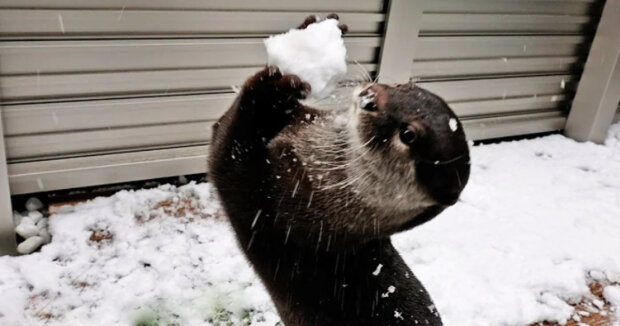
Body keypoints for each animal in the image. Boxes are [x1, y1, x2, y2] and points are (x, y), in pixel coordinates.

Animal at [208, 15, 470, 326]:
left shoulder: (265, 205)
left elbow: (227, 145)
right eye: (401, 87)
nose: (370, 96)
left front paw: (273, 87)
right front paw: (312, 30)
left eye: (408, 135)